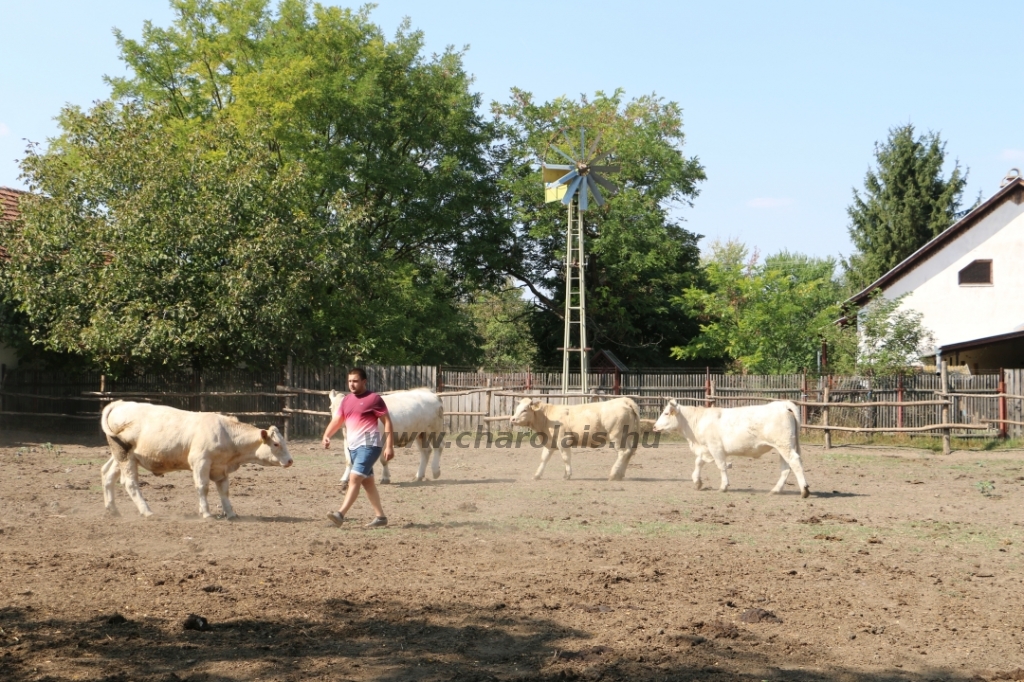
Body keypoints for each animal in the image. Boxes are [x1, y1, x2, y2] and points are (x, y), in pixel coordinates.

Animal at [100, 399, 292, 516]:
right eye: (276, 444)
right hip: (125, 456)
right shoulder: (201, 462)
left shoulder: (221, 468)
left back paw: (113, 510)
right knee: (130, 483)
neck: (227, 434)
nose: (290, 461)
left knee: (107, 474)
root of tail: (119, 404)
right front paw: (206, 513)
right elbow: (202, 487)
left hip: (121, 456)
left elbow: (224, 490)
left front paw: (231, 513)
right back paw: (147, 511)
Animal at [509, 393, 643, 477]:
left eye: (525, 410)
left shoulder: (563, 441)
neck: (547, 417)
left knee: (623, 452)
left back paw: (614, 474)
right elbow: (544, 458)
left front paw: (567, 474)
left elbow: (566, 458)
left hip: (617, 436)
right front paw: (537, 475)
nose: (512, 419)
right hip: (627, 436)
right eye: (517, 408)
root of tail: (624, 400)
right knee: (629, 453)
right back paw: (620, 474)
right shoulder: (550, 443)